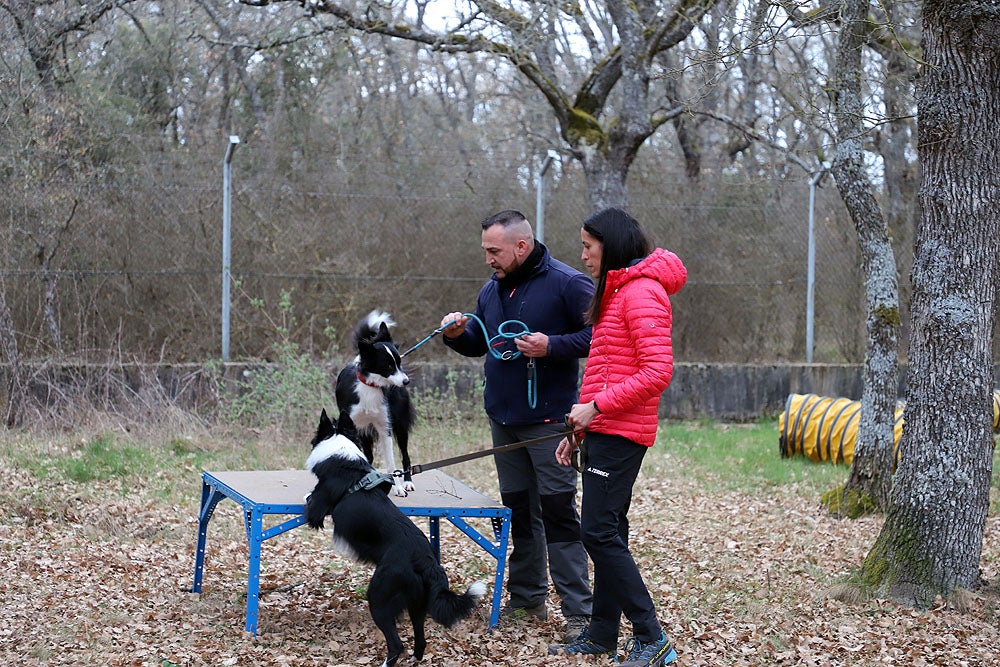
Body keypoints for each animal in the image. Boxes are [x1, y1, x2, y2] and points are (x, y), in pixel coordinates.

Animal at [306, 410, 486, 664]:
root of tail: (428, 562)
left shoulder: (316, 509)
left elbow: (310, 501)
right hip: (417, 604)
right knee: (421, 640)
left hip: (379, 597)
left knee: (396, 644)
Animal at [336, 310, 414, 496]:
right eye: (388, 366)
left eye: (399, 362)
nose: (406, 381)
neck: (370, 386)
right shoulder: (351, 424)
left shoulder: (385, 427)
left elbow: (392, 464)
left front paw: (398, 487)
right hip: (364, 430)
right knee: (369, 456)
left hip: (400, 425)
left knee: (405, 455)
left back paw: (408, 482)